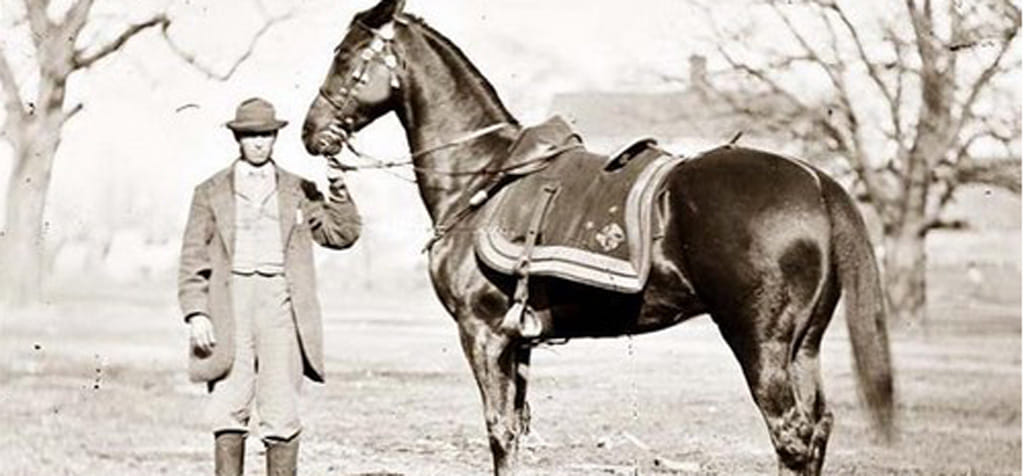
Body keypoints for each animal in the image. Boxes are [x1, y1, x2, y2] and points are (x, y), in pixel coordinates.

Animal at [301, 1, 894, 474]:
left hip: (759, 341)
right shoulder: (517, 341)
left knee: (790, 434)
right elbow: (516, 428)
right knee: (816, 429)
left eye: (346, 57)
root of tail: (815, 180)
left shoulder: (483, 332)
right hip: (804, 345)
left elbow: (498, 430)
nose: (311, 132)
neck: (485, 175)